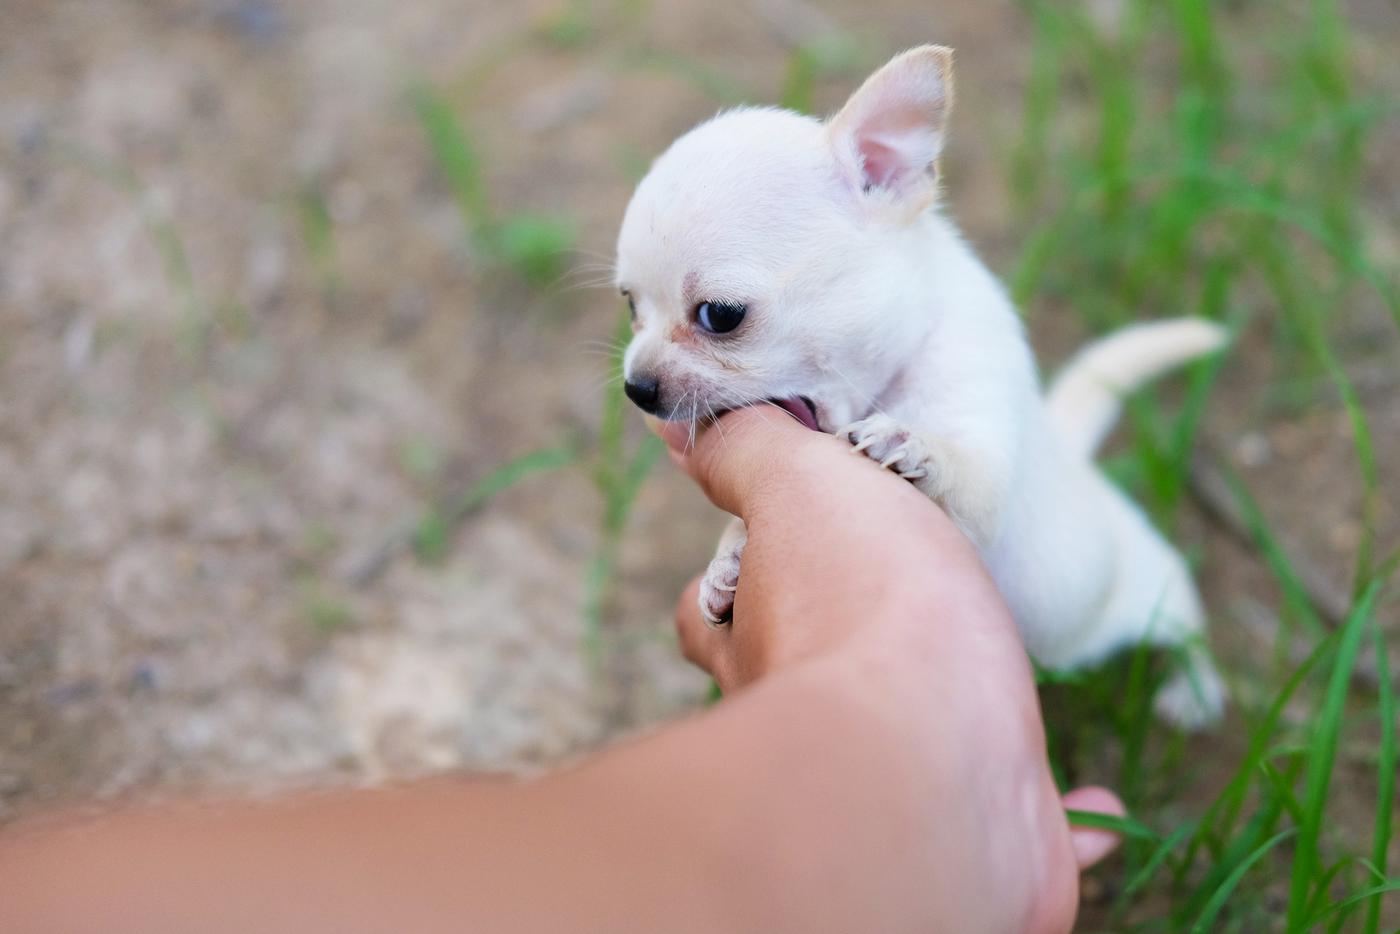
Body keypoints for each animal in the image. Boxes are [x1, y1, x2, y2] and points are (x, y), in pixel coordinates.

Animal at [616, 45, 1226, 728]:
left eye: (720, 315)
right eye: (630, 306)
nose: (637, 387)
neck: (893, 374)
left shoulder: (985, 471)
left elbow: (965, 471)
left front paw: (912, 443)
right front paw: (727, 561)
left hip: (1150, 590)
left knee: (1189, 626)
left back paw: (1196, 691)